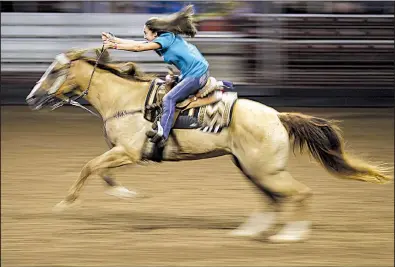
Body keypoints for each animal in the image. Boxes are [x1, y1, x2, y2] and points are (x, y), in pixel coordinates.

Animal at [25, 47, 392, 243]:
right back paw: (248, 232)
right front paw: (125, 193)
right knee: (271, 199)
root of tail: (278, 115)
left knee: (299, 194)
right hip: (251, 168)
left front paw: (65, 205)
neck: (125, 100)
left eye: (55, 70)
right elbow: (100, 171)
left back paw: (289, 235)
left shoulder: (127, 152)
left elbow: (89, 166)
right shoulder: (120, 153)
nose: (30, 98)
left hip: (266, 171)